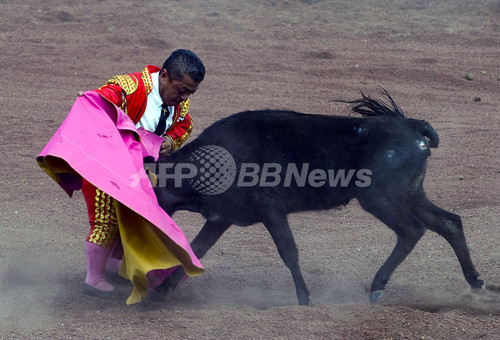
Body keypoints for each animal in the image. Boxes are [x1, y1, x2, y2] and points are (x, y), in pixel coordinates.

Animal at [148, 91, 484, 306]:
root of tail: (413, 126)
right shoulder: (221, 218)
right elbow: (196, 250)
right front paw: (159, 294)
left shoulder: (271, 211)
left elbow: (289, 252)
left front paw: (304, 299)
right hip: (411, 194)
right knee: (449, 223)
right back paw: (476, 282)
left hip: (378, 197)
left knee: (412, 230)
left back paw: (377, 287)